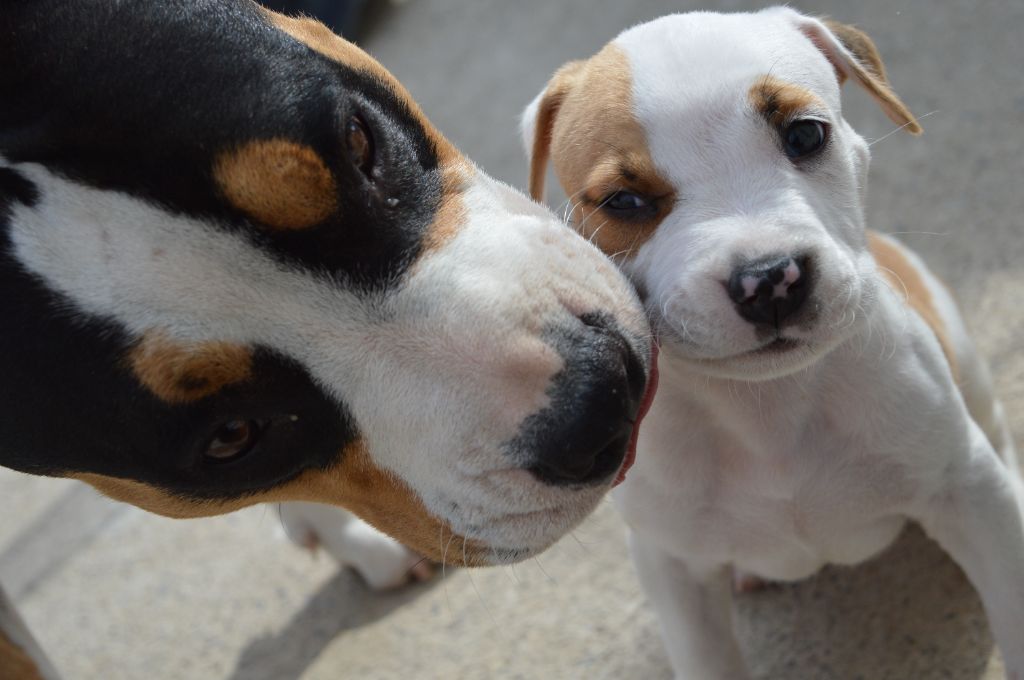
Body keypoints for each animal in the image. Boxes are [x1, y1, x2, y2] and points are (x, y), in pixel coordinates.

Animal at [524, 7, 1024, 675]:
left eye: (805, 136)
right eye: (623, 201)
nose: (768, 279)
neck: (770, 406)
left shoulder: (964, 489)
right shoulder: (673, 570)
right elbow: (708, 657)